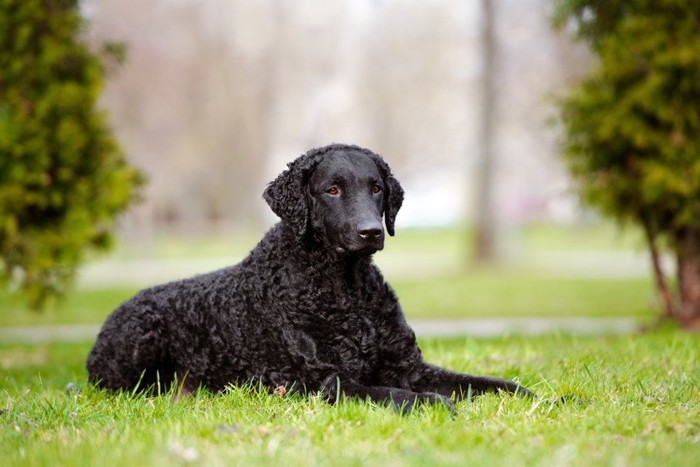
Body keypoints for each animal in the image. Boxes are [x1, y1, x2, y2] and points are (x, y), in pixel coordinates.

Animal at [89, 144, 536, 412]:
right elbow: (395, 393)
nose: (371, 231)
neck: (347, 292)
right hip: (139, 343)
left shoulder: (410, 366)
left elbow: (487, 383)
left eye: (376, 188)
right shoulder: (326, 380)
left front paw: (543, 398)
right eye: (332, 190)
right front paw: (433, 403)